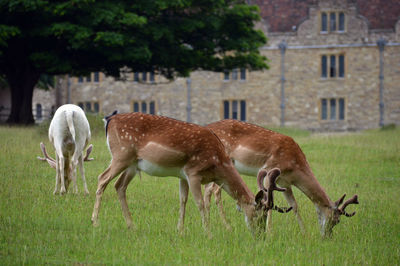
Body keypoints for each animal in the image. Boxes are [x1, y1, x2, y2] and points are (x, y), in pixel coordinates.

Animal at [92, 111, 290, 234]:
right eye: (259, 214)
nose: (261, 235)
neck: (217, 164)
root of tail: (109, 120)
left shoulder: (183, 175)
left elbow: (183, 200)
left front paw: (180, 230)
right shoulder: (194, 172)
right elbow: (199, 203)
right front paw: (208, 233)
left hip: (133, 165)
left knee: (119, 185)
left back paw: (131, 226)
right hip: (121, 155)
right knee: (102, 178)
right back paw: (95, 222)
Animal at [205, 119, 358, 237]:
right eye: (336, 220)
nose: (327, 236)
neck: (295, 165)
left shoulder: (285, 183)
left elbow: (294, 205)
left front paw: (305, 233)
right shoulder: (269, 170)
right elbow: (269, 203)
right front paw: (270, 233)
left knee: (211, 190)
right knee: (213, 190)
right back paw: (226, 227)